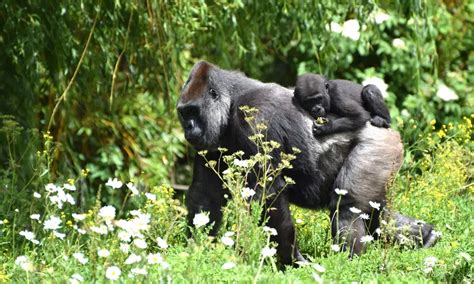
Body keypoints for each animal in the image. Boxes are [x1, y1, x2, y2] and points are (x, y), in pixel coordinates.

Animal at [176, 60, 438, 264]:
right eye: (183, 113)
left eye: (192, 112)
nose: (188, 128)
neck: (231, 101)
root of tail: (387, 127)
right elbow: (206, 196)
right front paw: (196, 250)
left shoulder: (254, 118)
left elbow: (269, 193)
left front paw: (288, 260)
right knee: (375, 214)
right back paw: (426, 236)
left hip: (377, 146)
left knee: (347, 208)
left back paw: (349, 264)